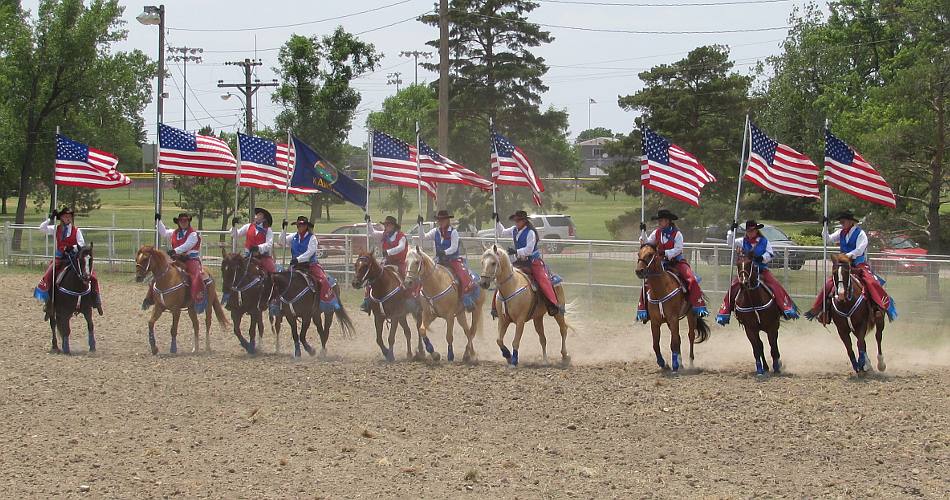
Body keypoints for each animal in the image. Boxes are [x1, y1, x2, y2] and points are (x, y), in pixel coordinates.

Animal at [636, 244, 712, 374]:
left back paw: (690, 363)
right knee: (679, 338)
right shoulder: (655, 322)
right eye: (638, 254)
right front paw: (663, 364)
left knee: (690, 336)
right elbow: (656, 345)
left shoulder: (673, 319)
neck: (660, 290)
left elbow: (674, 343)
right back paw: (681, 364)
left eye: (650, 254)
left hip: (691, 315)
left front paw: (675, 365)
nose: (639, 271)